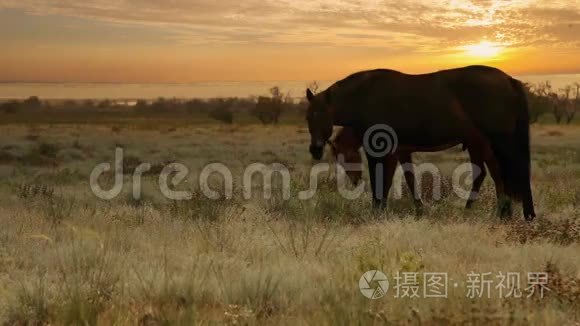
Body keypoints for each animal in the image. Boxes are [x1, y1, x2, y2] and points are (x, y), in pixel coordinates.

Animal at [308, 65, 536, 220]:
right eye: (308, 116)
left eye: (320, 114)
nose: (315, 150)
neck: (365, 96)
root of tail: (509, 80)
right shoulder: (401, 152)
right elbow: (408, 179)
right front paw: (418, 210)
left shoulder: (381, 152)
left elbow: (381, 181)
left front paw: (377, 212)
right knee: (496, 174)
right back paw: (500, 214)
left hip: (499, 143)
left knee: (510, 172)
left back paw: (521, 216)